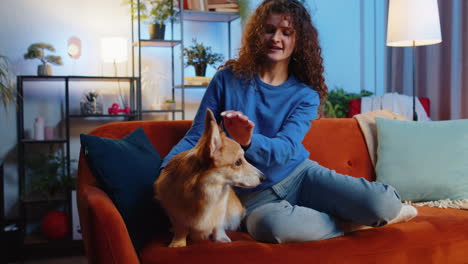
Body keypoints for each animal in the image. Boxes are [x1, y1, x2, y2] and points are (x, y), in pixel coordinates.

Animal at [155, 108, 266, 248]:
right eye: (238, 162)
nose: (264, 177)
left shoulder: (220, 210)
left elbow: (217, 226)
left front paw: (221, 238)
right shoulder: (176, 215)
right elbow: (181, 228)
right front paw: (178, 243)